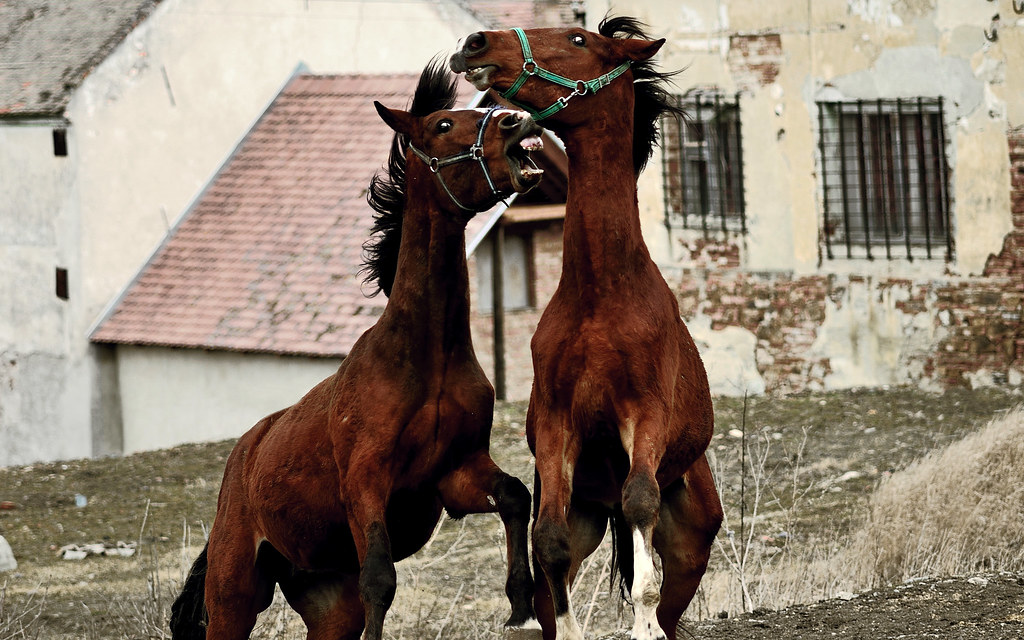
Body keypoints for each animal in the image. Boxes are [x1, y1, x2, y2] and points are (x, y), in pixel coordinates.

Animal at [169, 60, 547, 640]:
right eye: (442, 124)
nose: (514, 119)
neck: (424, 359)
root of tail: (242, 461)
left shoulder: (456, 471)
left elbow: (514, 496)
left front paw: (521, 605)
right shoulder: (366, 481)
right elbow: (380, 579)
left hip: (327, 604)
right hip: (233, 595)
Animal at [450, 17, 723, 640]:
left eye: (578, 39)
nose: (475, 43)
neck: (601, 296)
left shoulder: (644, 412)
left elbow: (641, 505)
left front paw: (640, 628)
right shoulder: (558, 422)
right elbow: (547, 546)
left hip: (692, 543)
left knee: (668, 594)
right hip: (587, 515)